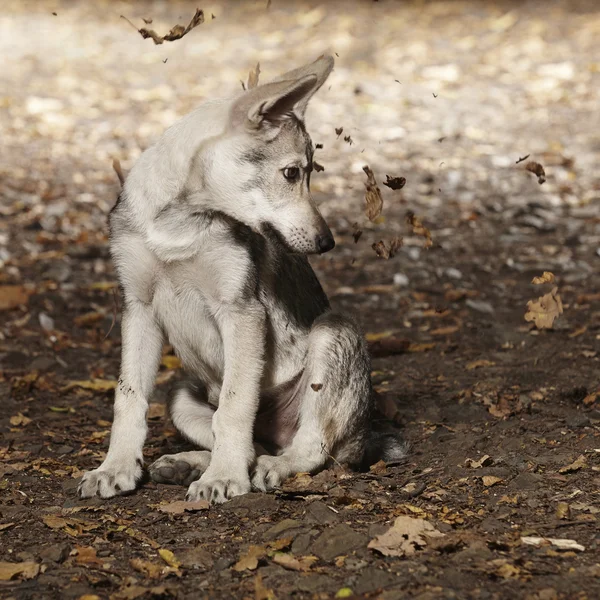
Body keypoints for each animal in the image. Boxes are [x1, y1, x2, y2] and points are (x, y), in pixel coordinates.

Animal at [77, 56, 406, 504]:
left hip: (333, 334)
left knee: (309, 449)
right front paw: (116, 467)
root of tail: (364, 437)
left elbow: (235, 406)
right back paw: (187, 464)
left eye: (308, 174)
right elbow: (128, 399)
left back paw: (270, 468)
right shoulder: (137, 310)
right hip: (180, 394)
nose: (327, 242)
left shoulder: (240, 310)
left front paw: (223, 478)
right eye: (292, 173)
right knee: (252, 444)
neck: (179, 227)